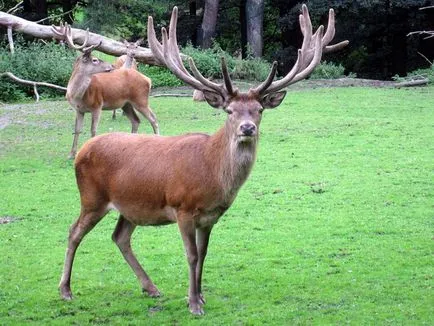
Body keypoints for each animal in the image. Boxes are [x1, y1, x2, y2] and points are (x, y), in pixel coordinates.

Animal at [51, 24, 159, 159]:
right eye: (95, 60)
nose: (112, 66)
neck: (77, 96)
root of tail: (148, 79)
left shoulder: (97, 105)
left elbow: (93, 130)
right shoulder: (79, 110)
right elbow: (77, 130)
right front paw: (71, 154)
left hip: (141, 99)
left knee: (153, 119)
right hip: (126, 104)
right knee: (136, 120)